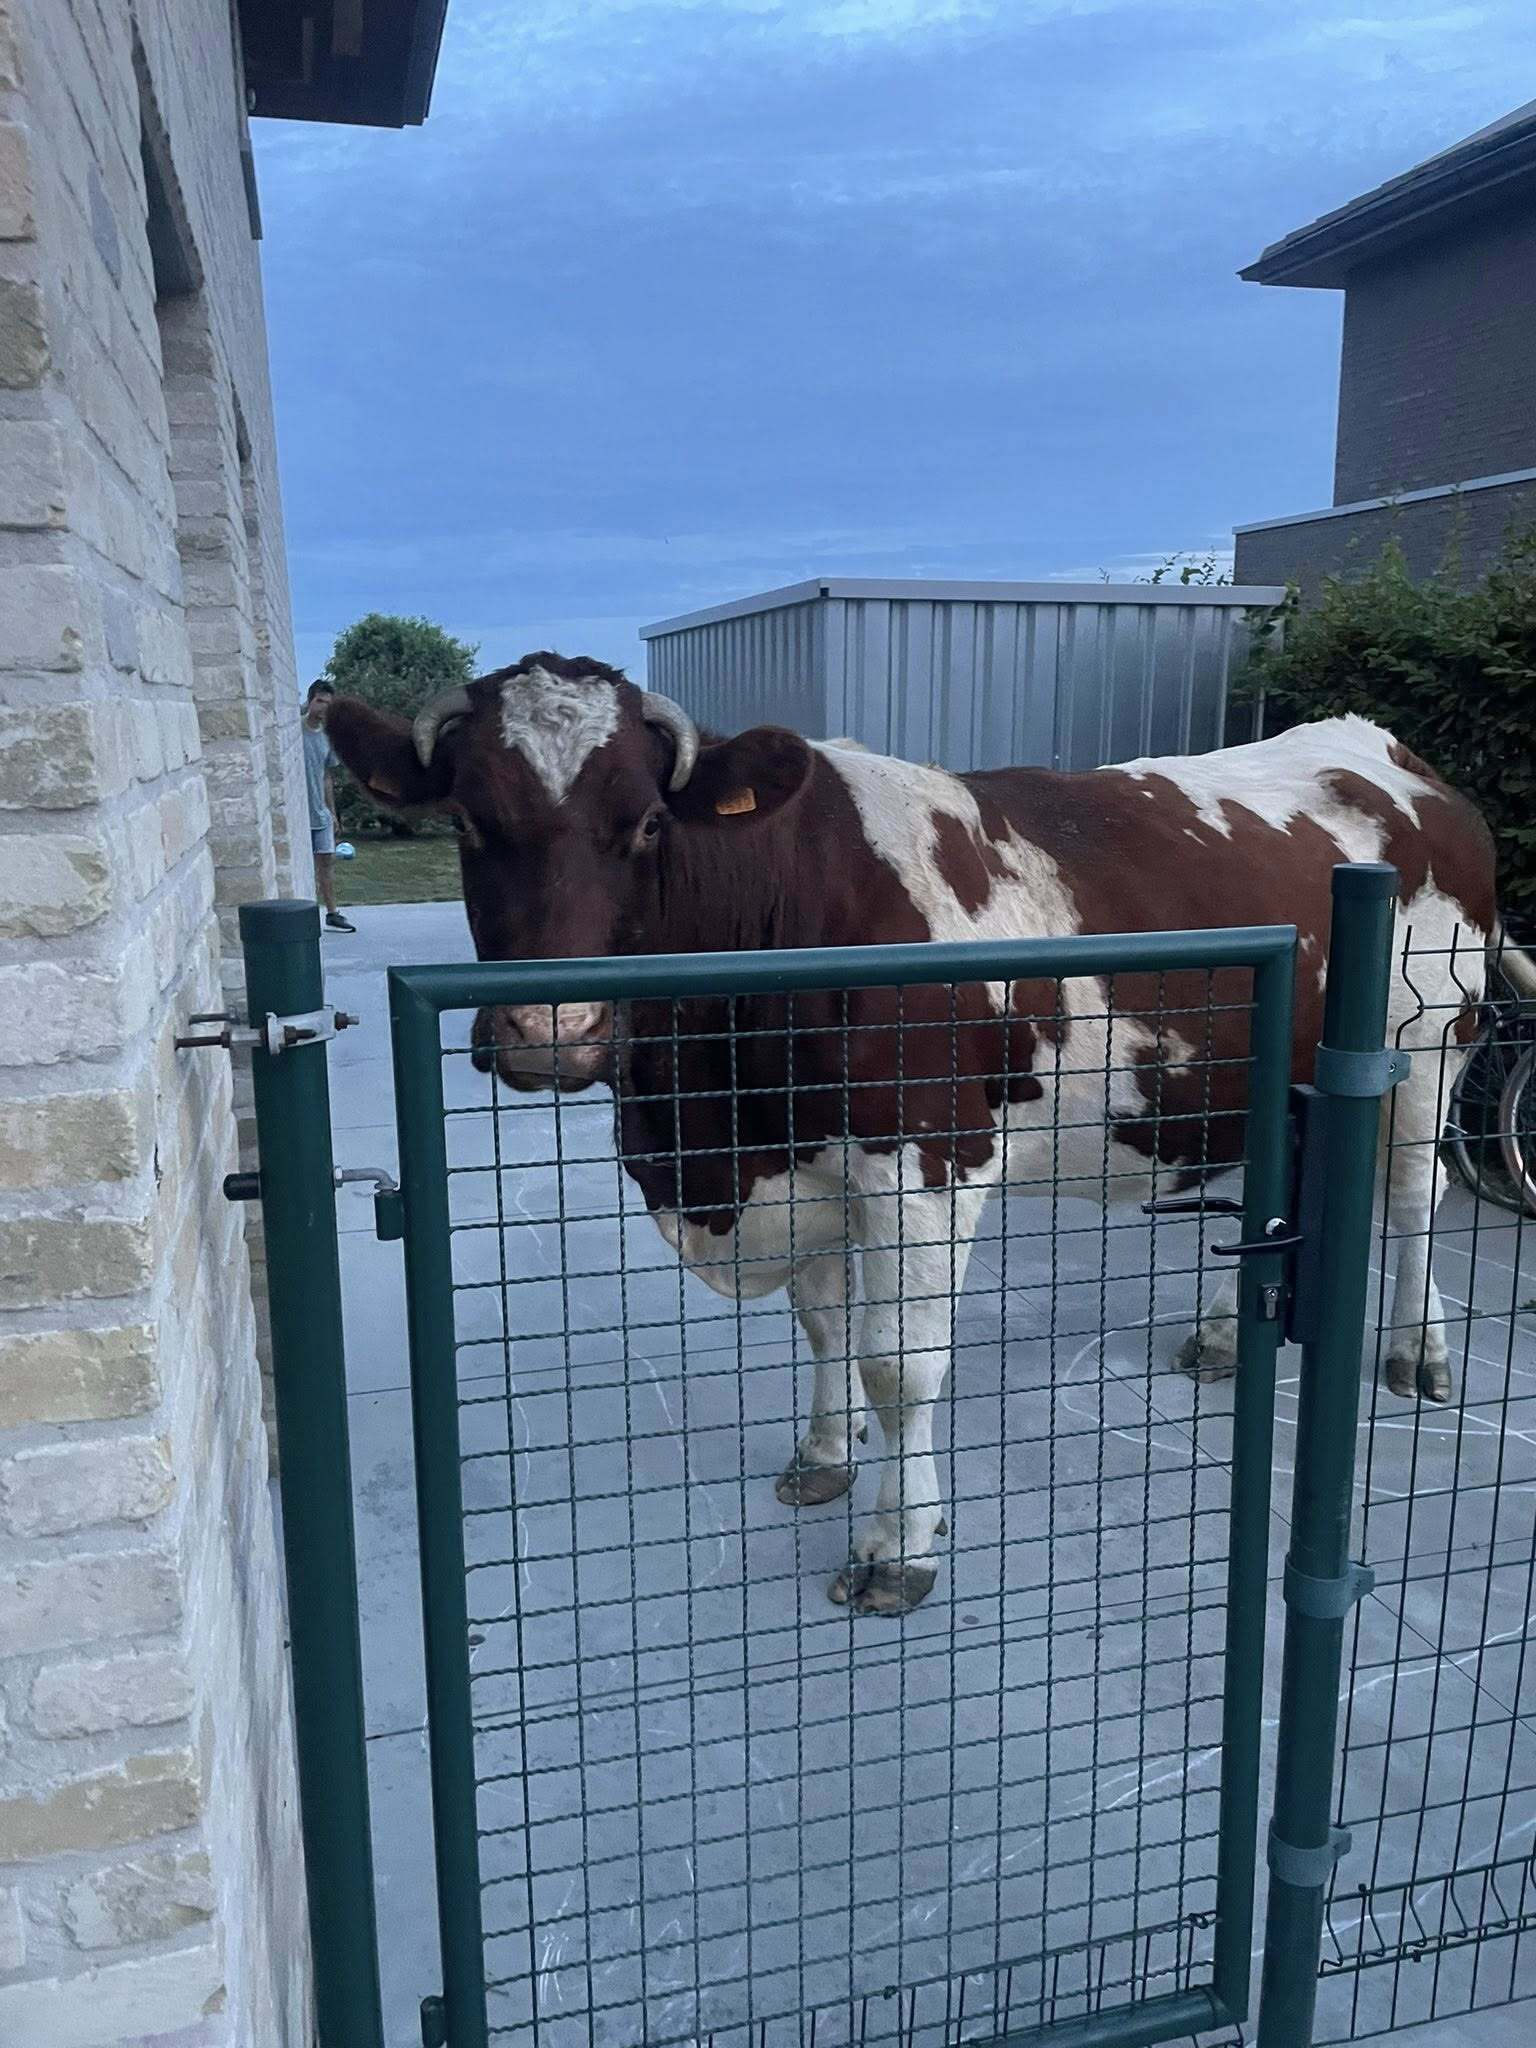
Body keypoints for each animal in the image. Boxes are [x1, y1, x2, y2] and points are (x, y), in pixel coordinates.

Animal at [325, 653, 1523, 1616]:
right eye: (467, 820)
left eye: (648, 824)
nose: (551, 1031)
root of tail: (1385, 750)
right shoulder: (802, 1162)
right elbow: (822, 1323)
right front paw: (822, 1452)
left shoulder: (922, 1162)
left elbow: (897, 1364)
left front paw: (900, 1544)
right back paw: (1231, 1335)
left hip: (1431, 1042)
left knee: (1412, 1198)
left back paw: (1417, 1350)